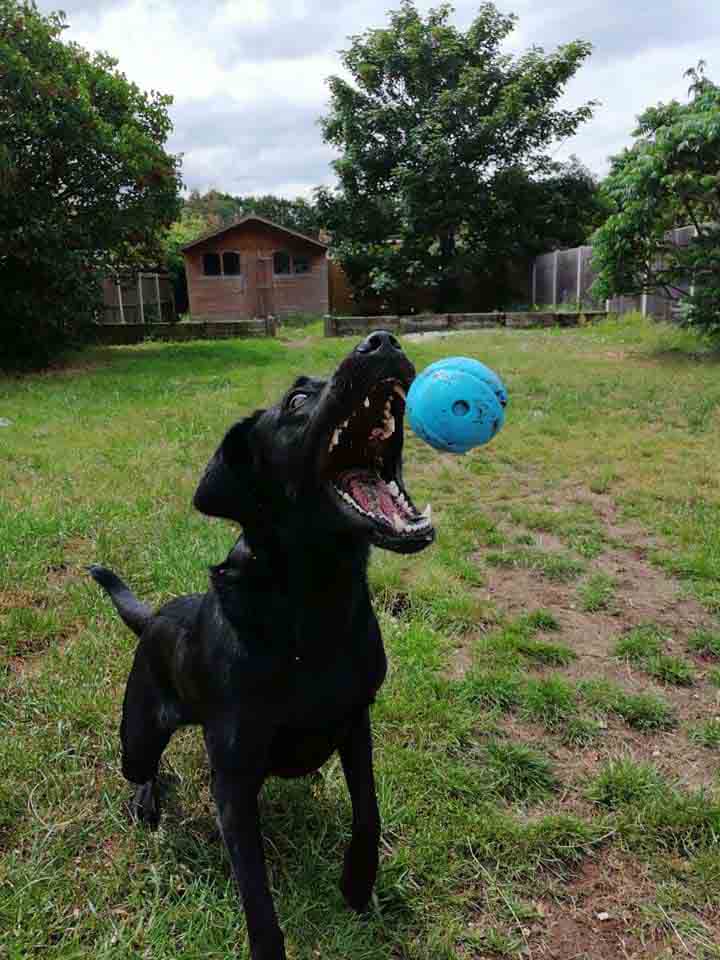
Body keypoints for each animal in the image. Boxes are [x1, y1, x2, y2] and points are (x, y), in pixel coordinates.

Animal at [90, 332, 434, 960]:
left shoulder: (356, 721)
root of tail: (153, 618)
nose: (381, 340)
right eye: (297, 401)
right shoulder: (231, 781)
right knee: (141, 766)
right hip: (138, 735)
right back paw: (146, 799)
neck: (313, 603)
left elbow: (368, 811)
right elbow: (257, 897)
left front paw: (357, 883)